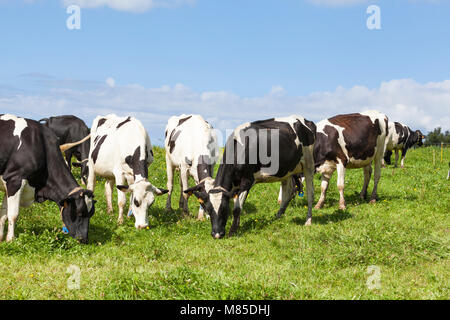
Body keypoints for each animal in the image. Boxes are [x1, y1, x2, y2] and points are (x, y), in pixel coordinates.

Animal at [0, 114, 95, 242]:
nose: (84, 239)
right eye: (79, 213)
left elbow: (3, 214)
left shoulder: (8, 184)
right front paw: (10, 240)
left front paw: (1, 237)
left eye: (91, 214)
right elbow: (13, 214)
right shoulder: (15, 180)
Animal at [185, 116, 314, 239]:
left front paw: (232, 231)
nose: (216, 234)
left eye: (224, 209)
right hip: (287, 170)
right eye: (208, 209)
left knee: (310, 195)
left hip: (308, 165)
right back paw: (278, 216)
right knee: (288, 192)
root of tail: (302, 120)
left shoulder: (247, 181)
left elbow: (237, 209)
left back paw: (308, 221)